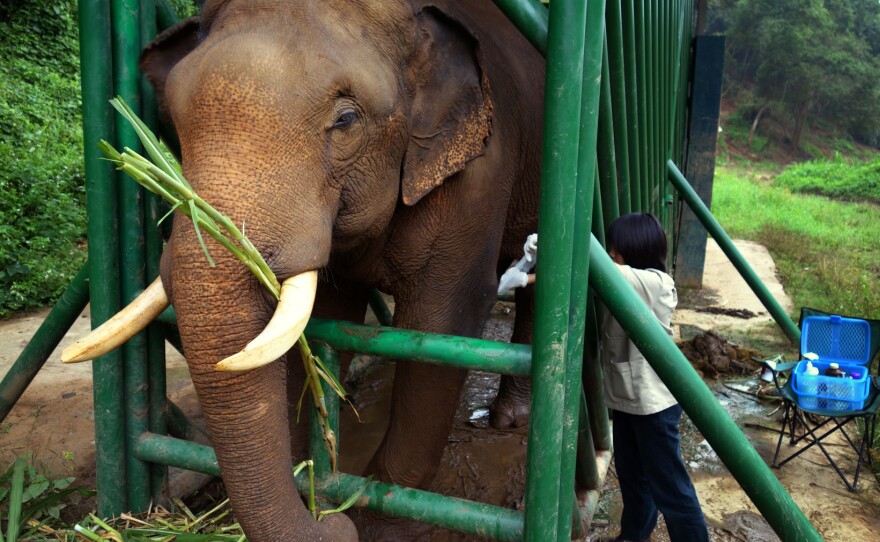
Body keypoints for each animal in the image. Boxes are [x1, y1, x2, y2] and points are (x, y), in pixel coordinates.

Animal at [67, 0, 544, 539]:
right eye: (174, 118)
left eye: (347, 119)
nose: (331, 524)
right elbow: (316, 328)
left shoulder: (476, 181)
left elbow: (440, 328)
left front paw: (374, 525)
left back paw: (507, 421)